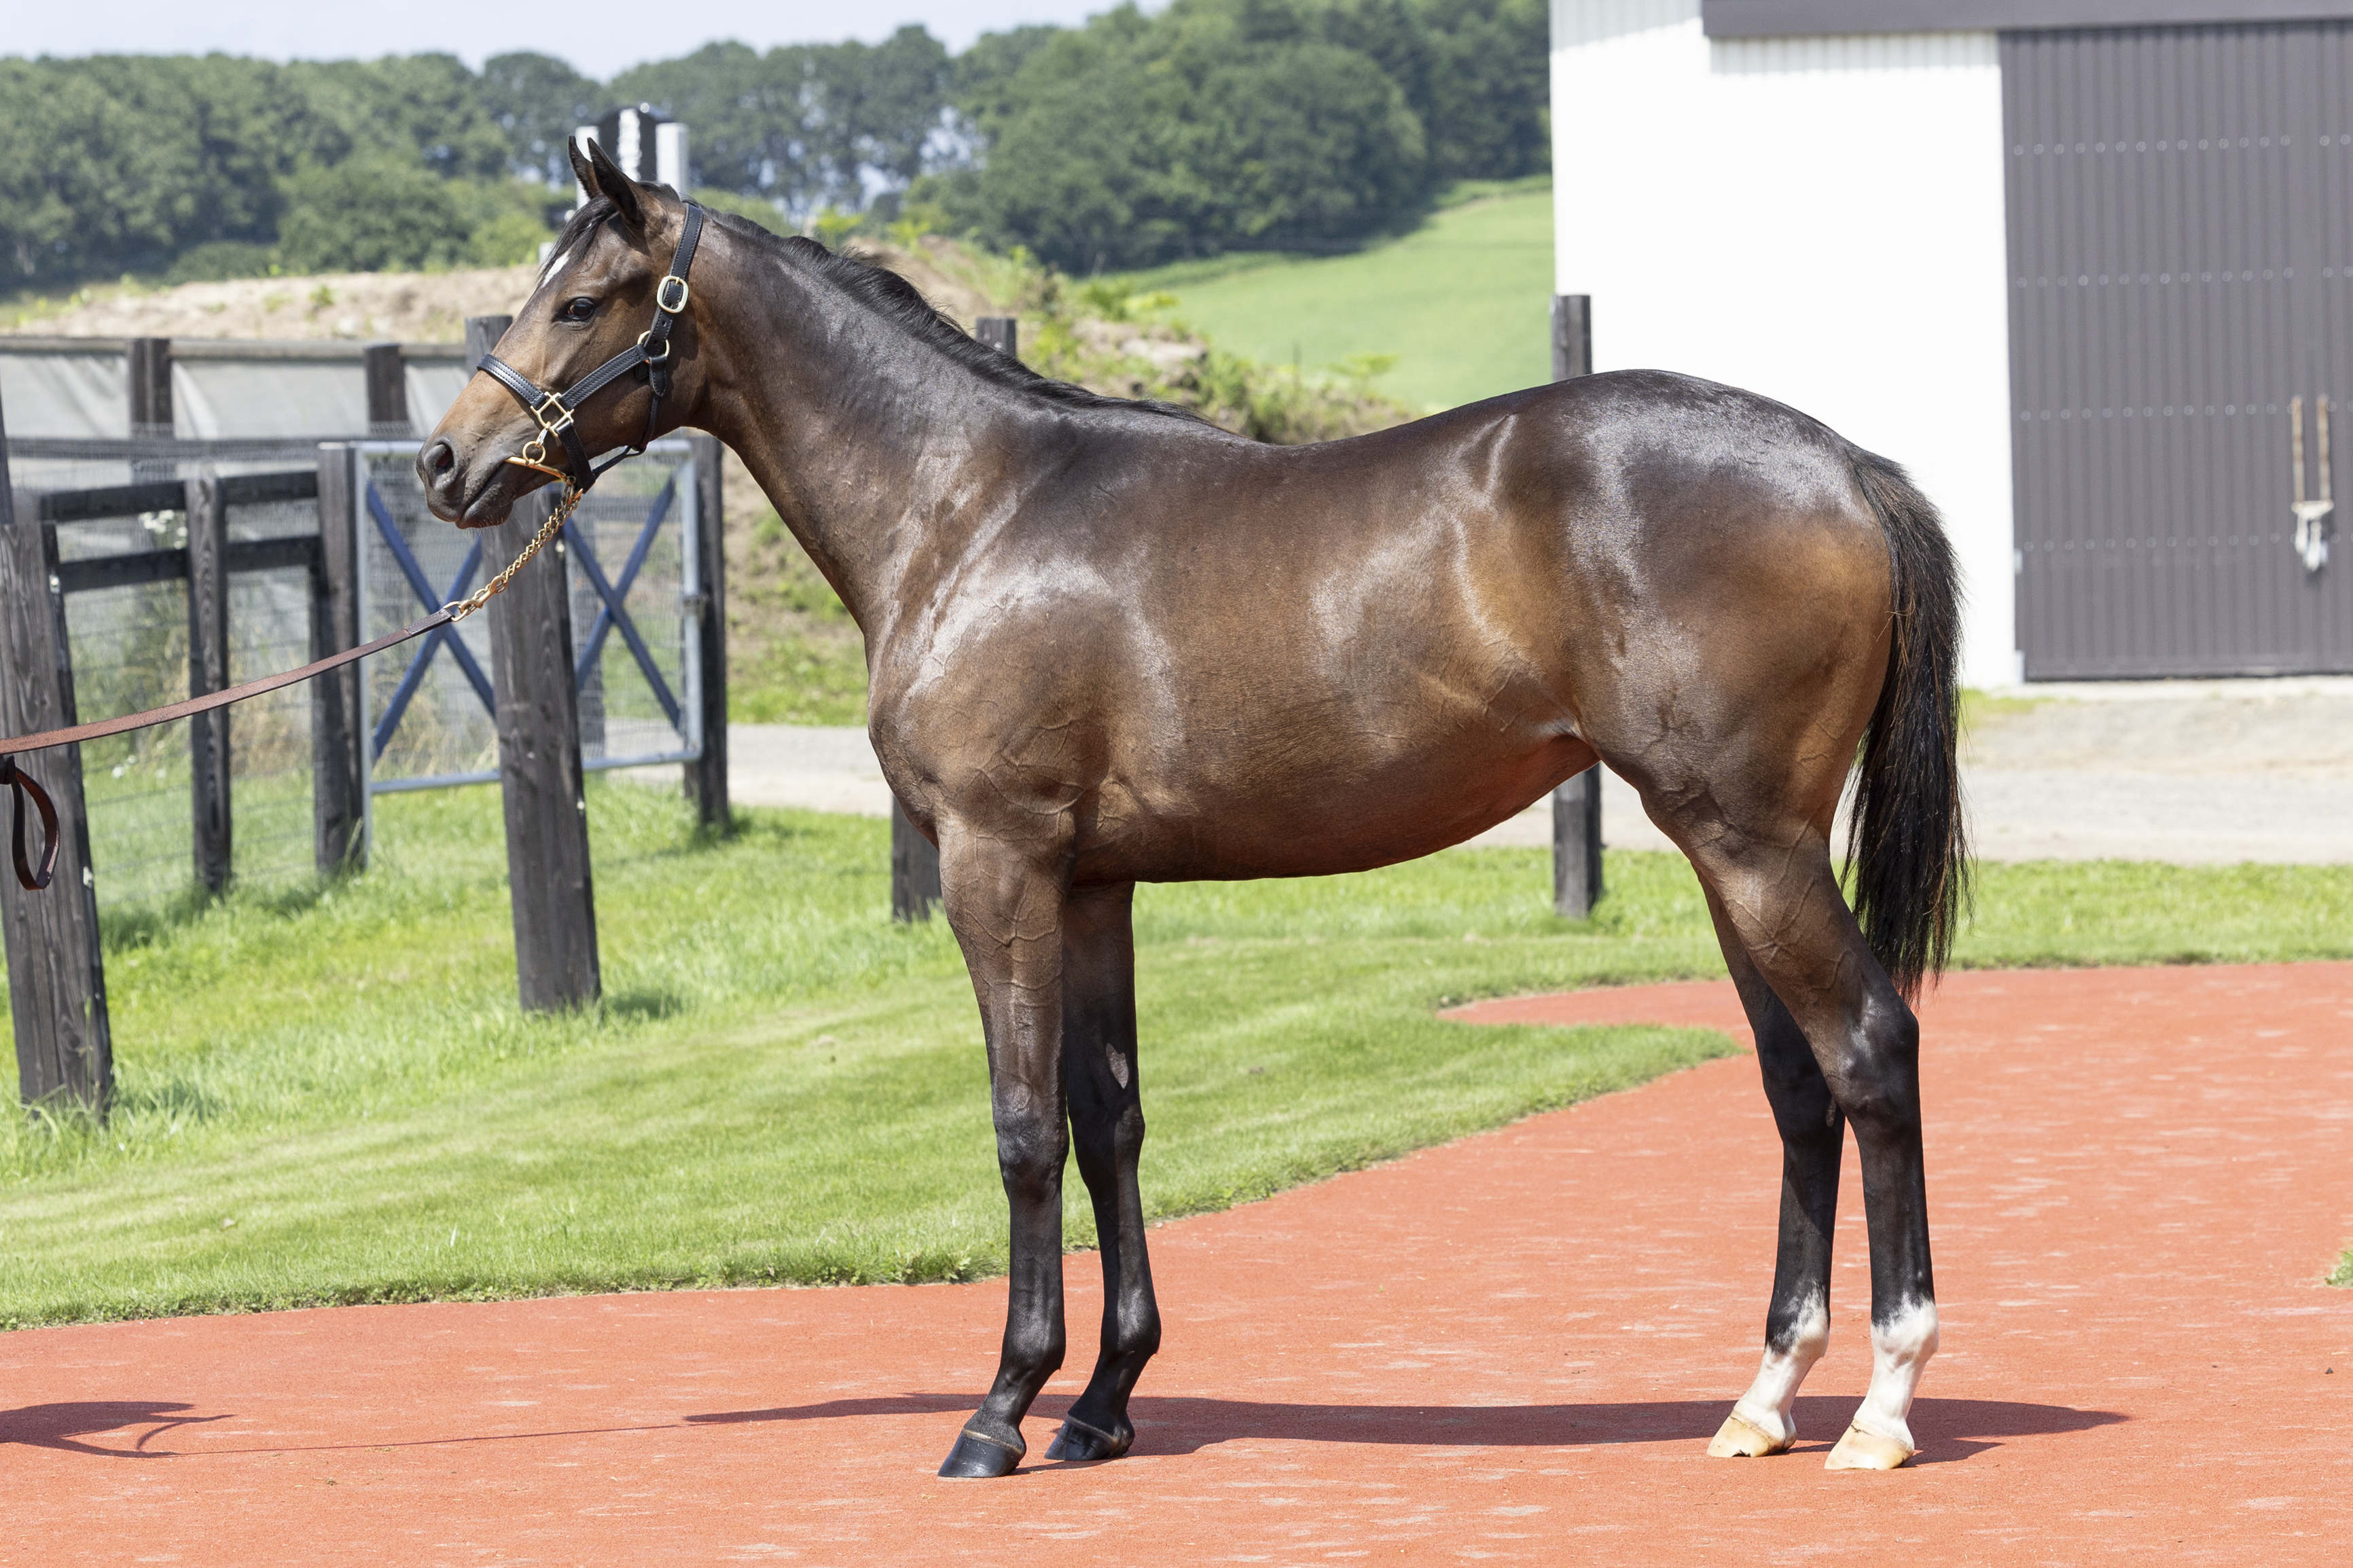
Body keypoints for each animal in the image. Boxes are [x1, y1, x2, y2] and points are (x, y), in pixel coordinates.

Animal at [421, 140, 1967, 1479]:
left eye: (578, 299)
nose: (444, 463)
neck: (971, 507)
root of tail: (1843, 464)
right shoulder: (1090, 884)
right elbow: (1111, 1120)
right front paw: (1102, 1399)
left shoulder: (996, 862)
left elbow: (1025, 1128)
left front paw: (999, 1408)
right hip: (1722, 850)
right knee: (1794, 1084)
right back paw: (1762, 1398)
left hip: (1749, 843)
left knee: (1869, 1048)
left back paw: (1881, 1403)